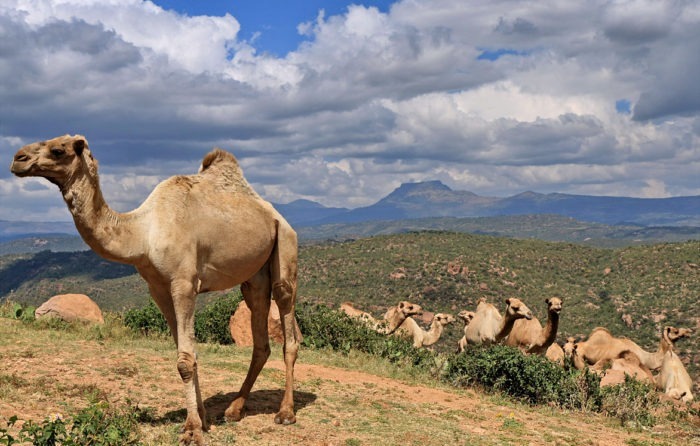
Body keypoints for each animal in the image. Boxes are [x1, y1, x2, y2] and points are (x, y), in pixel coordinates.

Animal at [10, 136, 300, 446]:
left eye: (57, 150)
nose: (18, 159)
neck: (143, 233)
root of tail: (276, 214)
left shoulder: (184, 283)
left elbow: (184, 359)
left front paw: (192, 429)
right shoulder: (158, 288)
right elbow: (189, 353)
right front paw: (203, 420)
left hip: (285, 244)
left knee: (287, 322)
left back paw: (285, 413)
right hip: (254, 275)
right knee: (260, 333)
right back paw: (234, 409)